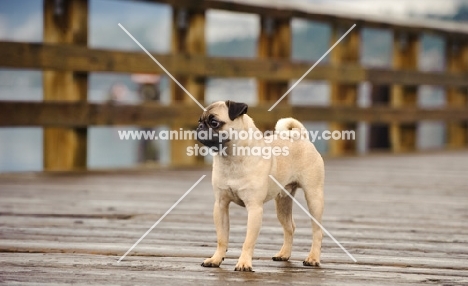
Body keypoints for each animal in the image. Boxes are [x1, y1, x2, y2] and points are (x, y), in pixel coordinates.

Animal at [196, 101, 324, 272]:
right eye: (200, 120)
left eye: (214, 122)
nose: (199, 127)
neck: (231, 158)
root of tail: (300, 137)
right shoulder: (221, 205)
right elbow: (222, 238)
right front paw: (216, 259)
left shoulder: (254, 208)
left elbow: (248, 241)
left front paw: (244, 263)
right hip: (283, 202)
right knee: (290, 227)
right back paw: (284, 254)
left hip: (314, 197)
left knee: (317, 231)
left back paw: (313, 258)